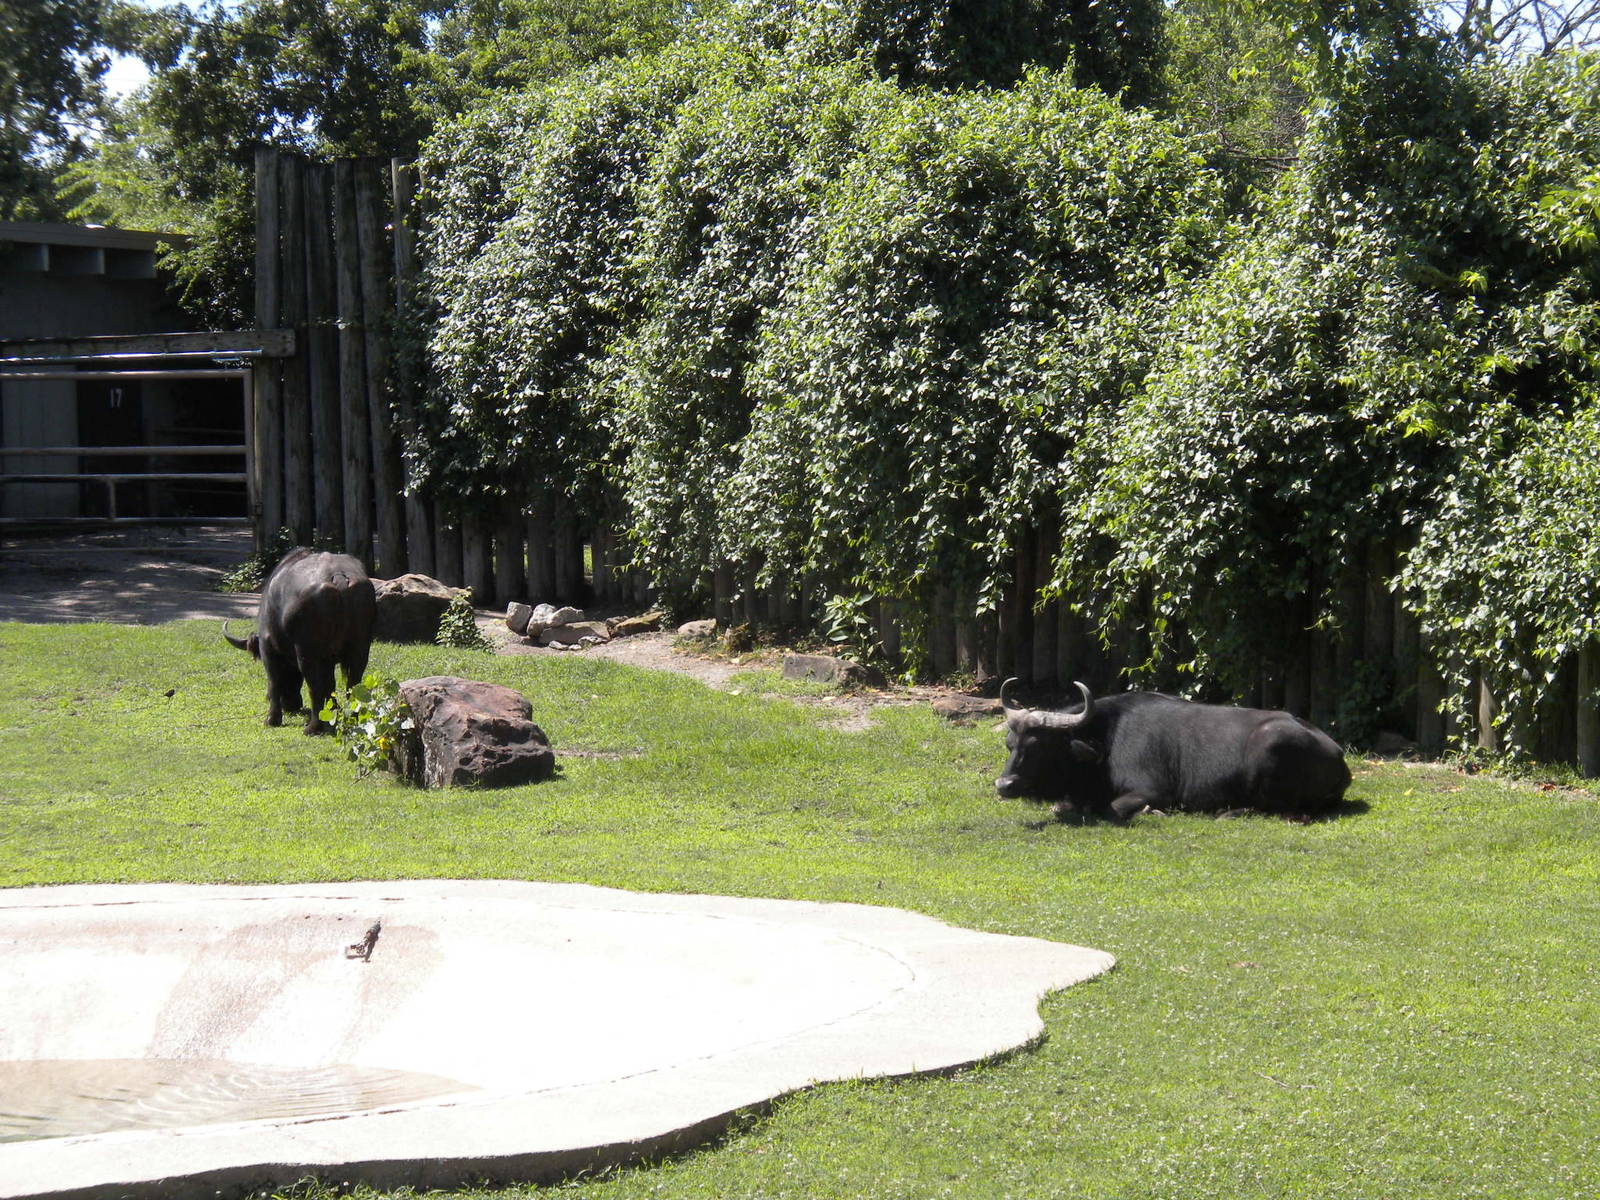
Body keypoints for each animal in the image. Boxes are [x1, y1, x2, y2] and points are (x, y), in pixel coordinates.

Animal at [223, 548, 377, 734]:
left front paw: (272, 719)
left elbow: (274, 682)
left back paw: (312, 727)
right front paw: (333, 712)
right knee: (353, 685)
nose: (292, 705)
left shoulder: (268, 649)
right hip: (359, 650)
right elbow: (330, 685)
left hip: (307, 653)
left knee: (314, 687)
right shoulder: (328, 661)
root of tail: (338, 577)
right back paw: (352, 719)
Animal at [995, 678, 1351, 821]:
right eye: (1010, 744)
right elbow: (1063, 807)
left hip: (1272, 743)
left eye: (1039, 746)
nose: (1004, 785)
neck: (1106, 741)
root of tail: (1338, 756)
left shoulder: (1151, 791)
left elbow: (1111, 809)